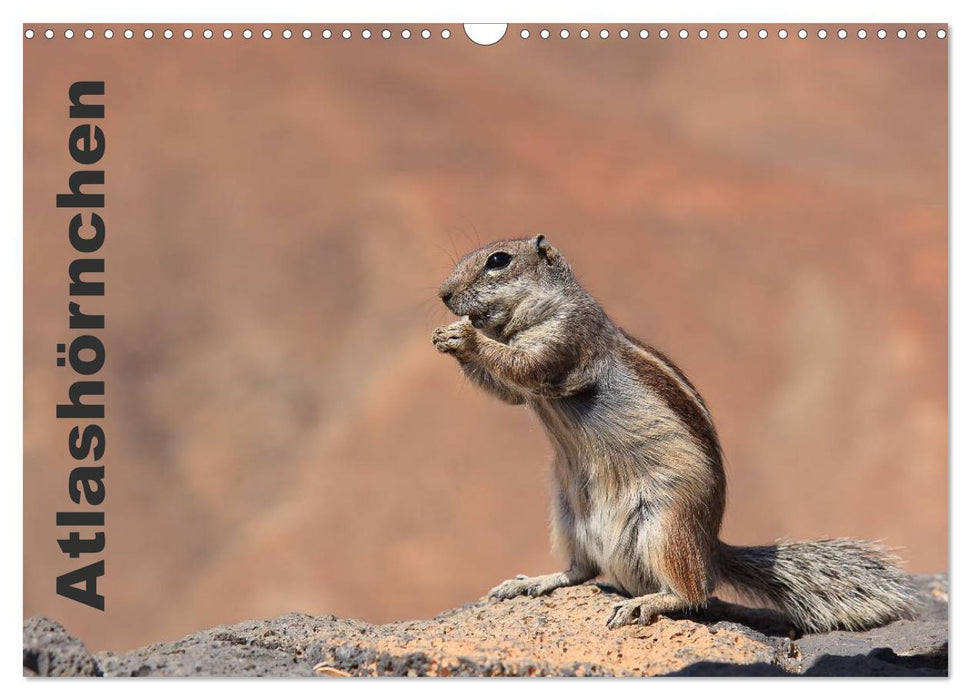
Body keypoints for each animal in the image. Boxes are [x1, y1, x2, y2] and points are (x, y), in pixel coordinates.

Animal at [432, 235, 920, 636]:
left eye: (498, 260)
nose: (443, 295)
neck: (526, 320)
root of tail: (709, 547)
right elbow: (509, 392)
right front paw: (447, 337)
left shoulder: (568, 341)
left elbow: (525, 366)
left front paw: (467, 338)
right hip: (568, 515)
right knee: (582, 571)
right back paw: (533, 582)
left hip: (666, 525)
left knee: (693, 594)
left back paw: (646, 603)